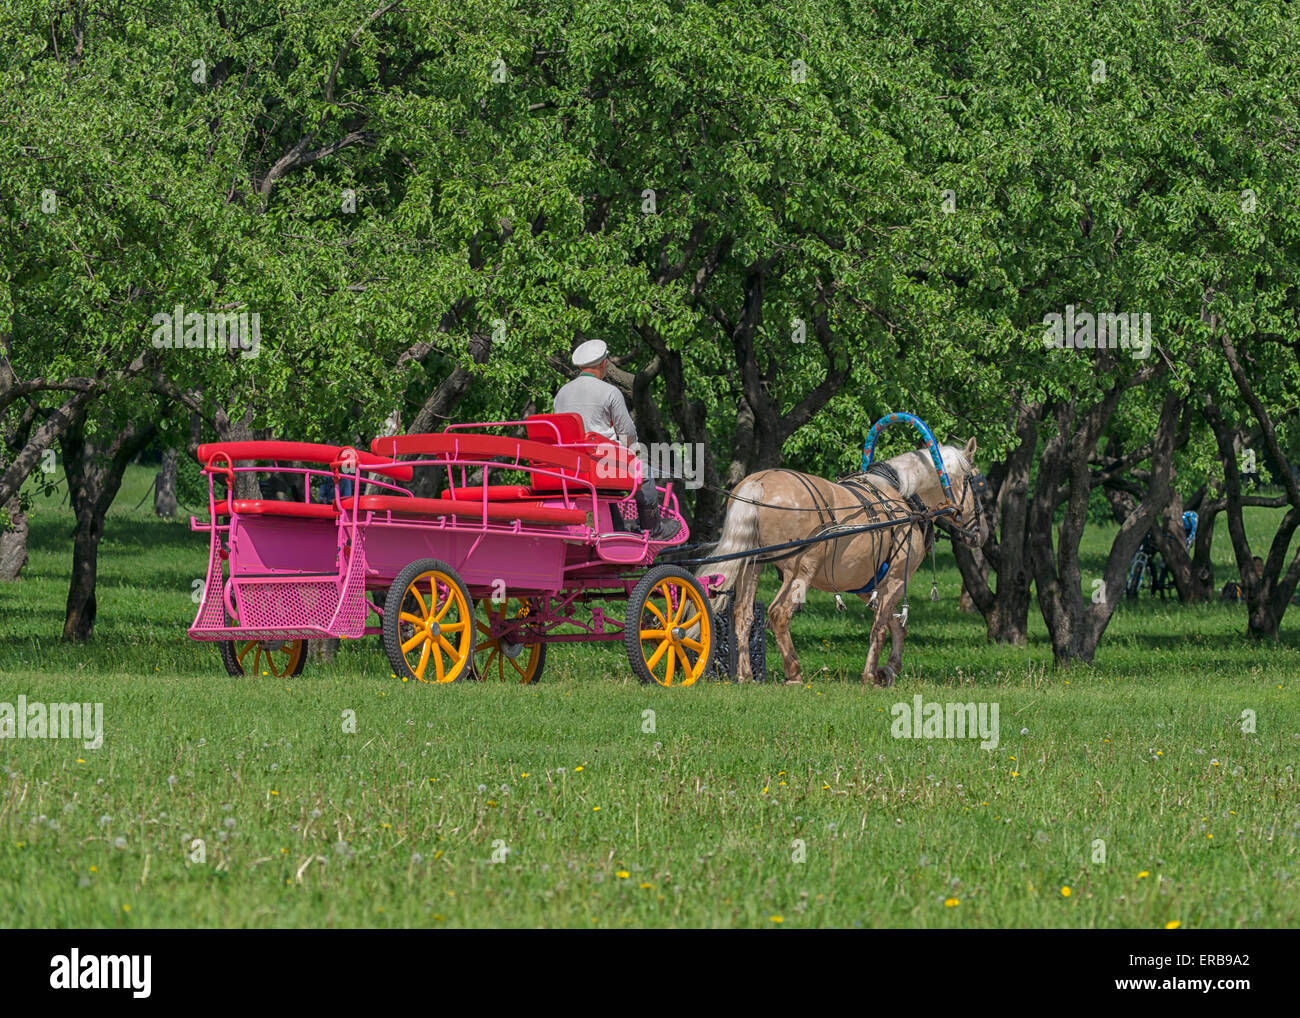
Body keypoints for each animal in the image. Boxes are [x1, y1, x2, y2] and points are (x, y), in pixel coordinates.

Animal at [702, 442, 982, 686]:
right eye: (977, 482)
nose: (980, 533)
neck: (902, 498)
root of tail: (758, 482)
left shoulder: (866, 584)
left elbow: (894, 624)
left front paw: (889, 669)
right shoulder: (895, 579)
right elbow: (880, 626)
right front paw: (871, 675)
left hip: (752, 565)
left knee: (744, 614)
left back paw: (746, 674)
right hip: (801, 570)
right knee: (779, 613)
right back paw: (793, 672)